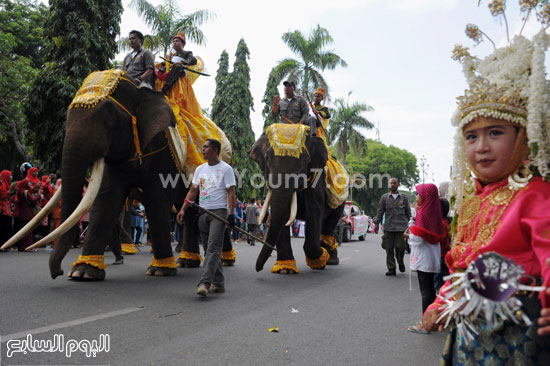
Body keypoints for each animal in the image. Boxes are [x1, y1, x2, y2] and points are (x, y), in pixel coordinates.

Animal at [250, 124, 344, 274]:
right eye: (267, 158)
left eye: (305, 161)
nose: (258, 269)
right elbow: (283, 214)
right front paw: (285, 269)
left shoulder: (316, 180)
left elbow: (314, 211)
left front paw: (320, 259)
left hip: (341, 202)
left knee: (330, 225)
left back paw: (330, 259)